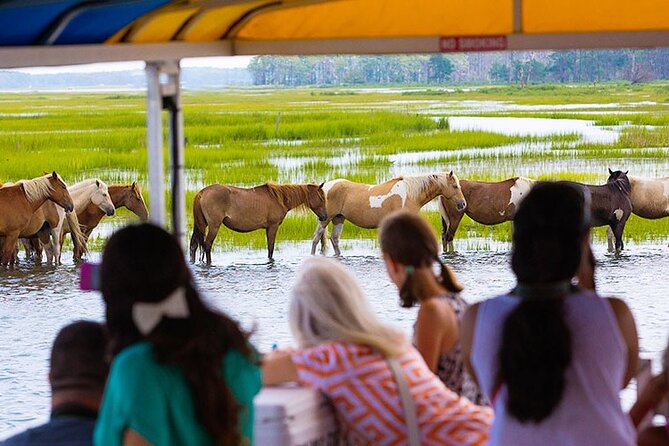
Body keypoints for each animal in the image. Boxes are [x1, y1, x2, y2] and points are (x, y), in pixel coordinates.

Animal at [190, 182, 326, 264]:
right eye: (321, 198)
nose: (324, 217)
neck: (280, 199)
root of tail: (202, 193)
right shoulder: (273, 226)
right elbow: (271, 247)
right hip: (214, 226)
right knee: (207, 245)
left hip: (201, 225)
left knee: (194, 245)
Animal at [312, 171, 464, 256]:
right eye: (455, 186)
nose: (462, 204)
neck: (409, 194)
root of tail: (324, 188)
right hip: (325, 219)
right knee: (316, 238)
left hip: (339, 218)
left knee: (334, 239)